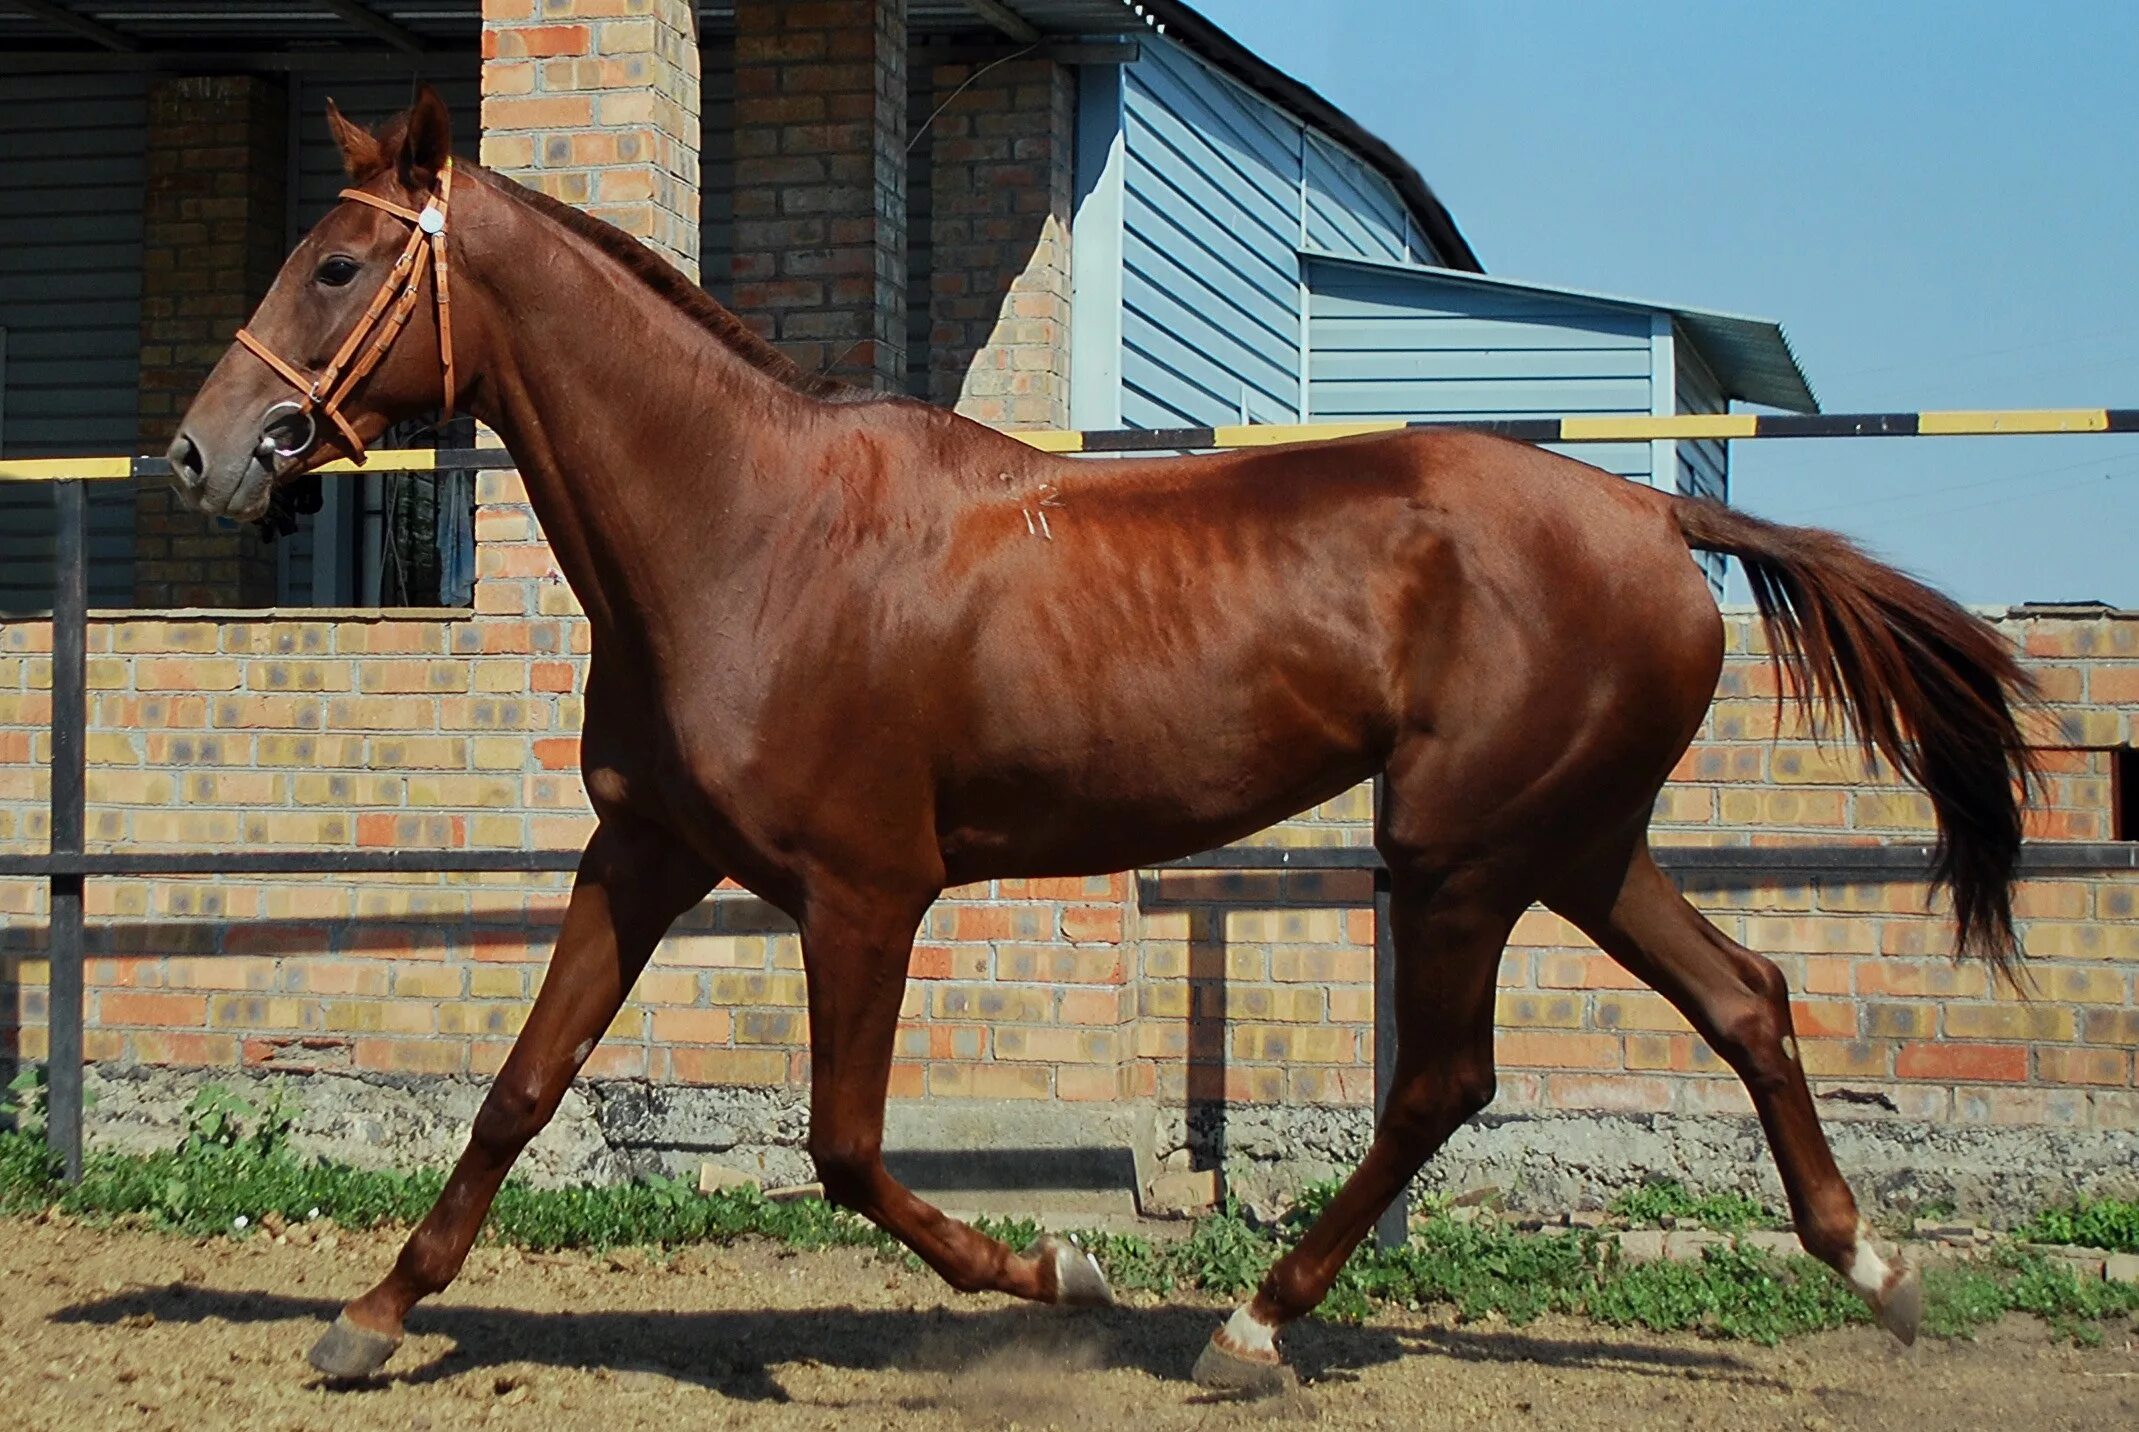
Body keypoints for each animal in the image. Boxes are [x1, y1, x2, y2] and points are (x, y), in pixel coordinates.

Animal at [162, 92, 2019, 1387]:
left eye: (337, 264)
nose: (201, 454)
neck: (745, 532)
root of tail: (1656, 524)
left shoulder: (863, 892)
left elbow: (842, 1150)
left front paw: (1062, 1273)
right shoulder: (645, 849)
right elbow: (519, 1085)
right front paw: (368, 1315)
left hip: (1458, 850)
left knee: (1446, 1079)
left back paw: (1248, 1330)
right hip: (1571, 841)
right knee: (1742, 999)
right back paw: (1877, 1274)